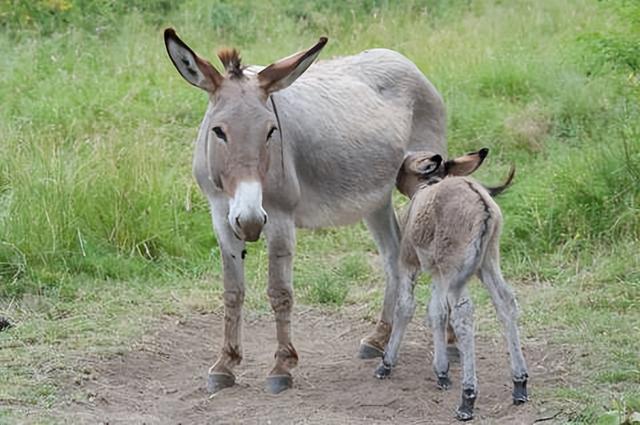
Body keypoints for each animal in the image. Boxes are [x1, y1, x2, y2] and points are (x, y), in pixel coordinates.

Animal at [372, 148, 528, 418]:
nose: (389, 179)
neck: (425, 188)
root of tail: (481, 201)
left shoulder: (409, 264)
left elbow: (406, 308)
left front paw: (387, 363)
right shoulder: (438, 272)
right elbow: (436, 312)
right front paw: (442, 372)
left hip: (457, 273)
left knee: (463, 315)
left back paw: (468, 397)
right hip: (487, 263)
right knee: (506, 303)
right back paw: (519, 384)